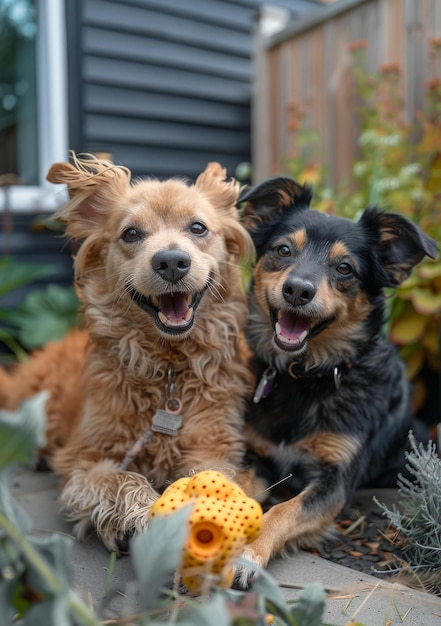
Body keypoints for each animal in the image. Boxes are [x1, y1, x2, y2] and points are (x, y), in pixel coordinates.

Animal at [0, 154, 253, 548]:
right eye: (131, 233)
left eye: (198, 228)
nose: (171, 261)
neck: (168, 368)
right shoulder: (87, 458)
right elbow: (122, 479)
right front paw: (144, 513)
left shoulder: (214, 447)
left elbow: (209, 481)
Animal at [235, 177, 434, 580]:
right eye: (282, 250)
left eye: (345, 268)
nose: (297, 289)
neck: (305, 377)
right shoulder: (256, 452)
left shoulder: (336, 480)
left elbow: (283, 509)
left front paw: (250, 553)